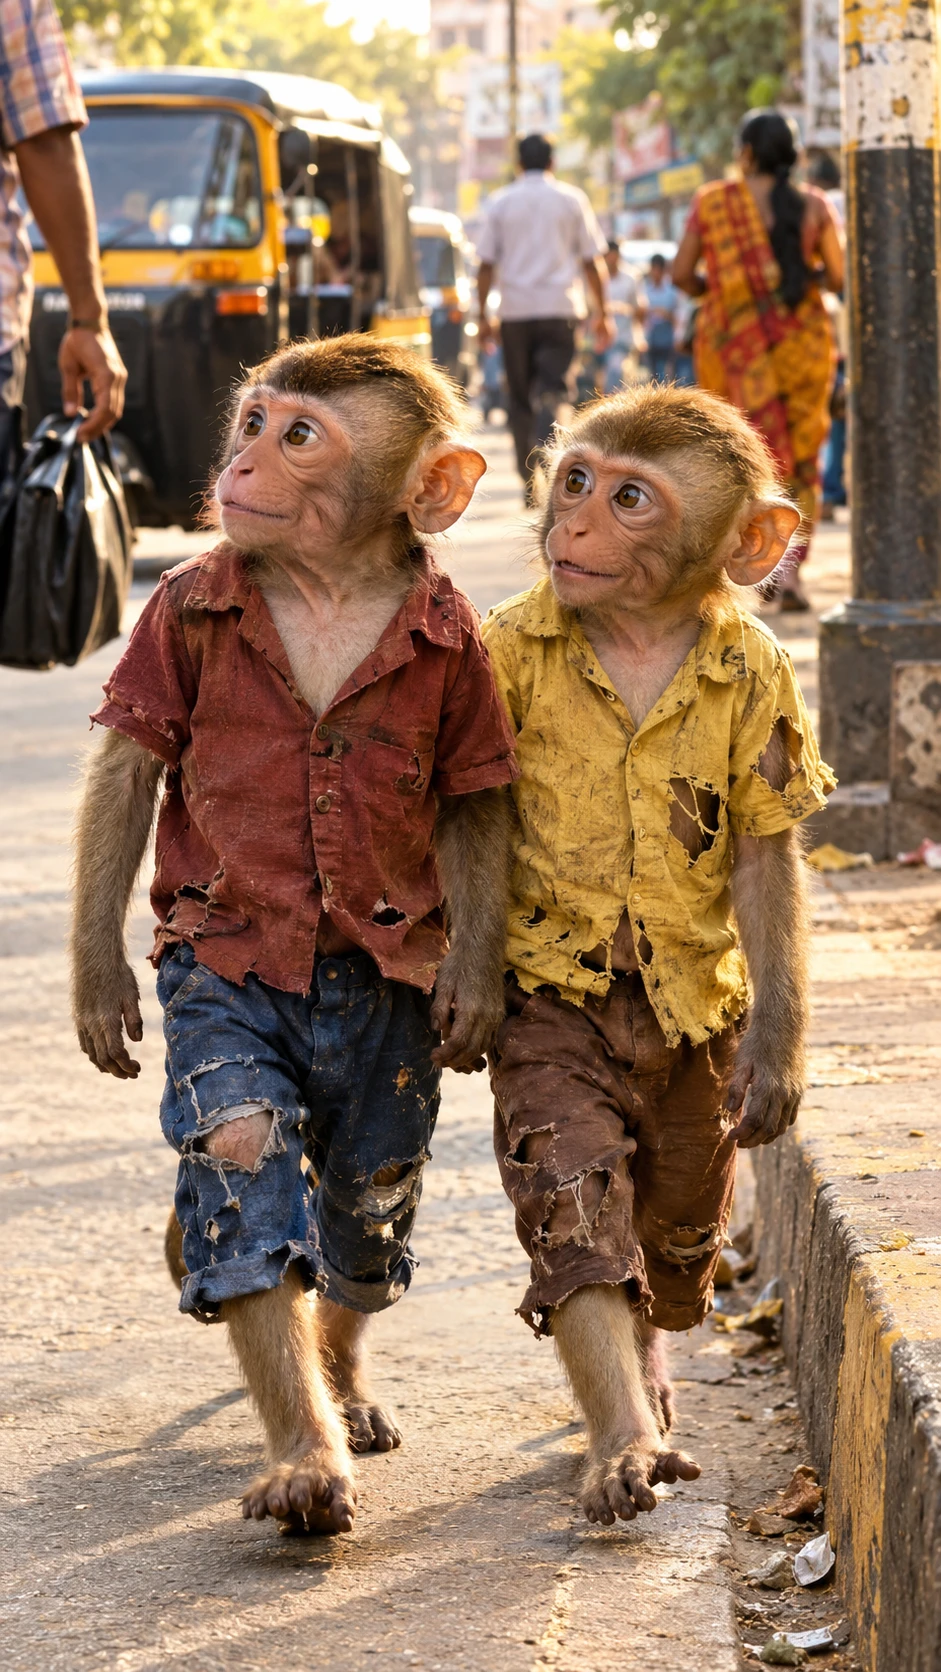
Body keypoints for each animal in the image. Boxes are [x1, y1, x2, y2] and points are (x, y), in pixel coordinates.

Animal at [71, 335, 519, 1536]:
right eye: (255, 420)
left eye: (300, 436)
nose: (240, 464)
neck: (324, 580)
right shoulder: (170, 622)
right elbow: (133, 760)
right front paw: (304, 1464)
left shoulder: (464, 661)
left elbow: (473, 804)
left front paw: (471, 993)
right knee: (271, 1180)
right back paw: (314, 1434)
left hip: (382, 1095)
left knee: (363, 1218)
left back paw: (345, 1378)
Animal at [481, 382, 834, 1527]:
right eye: (577, 478)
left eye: (629, 498)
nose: (574, 524)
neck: (638, 629)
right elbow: (573, 1209)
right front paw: (622, 1446)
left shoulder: (766, 686)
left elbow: (765, 856)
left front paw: (779, 1062)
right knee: (606, 1221)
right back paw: (629, 1408)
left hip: (693, 1126)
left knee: (678, 1238)